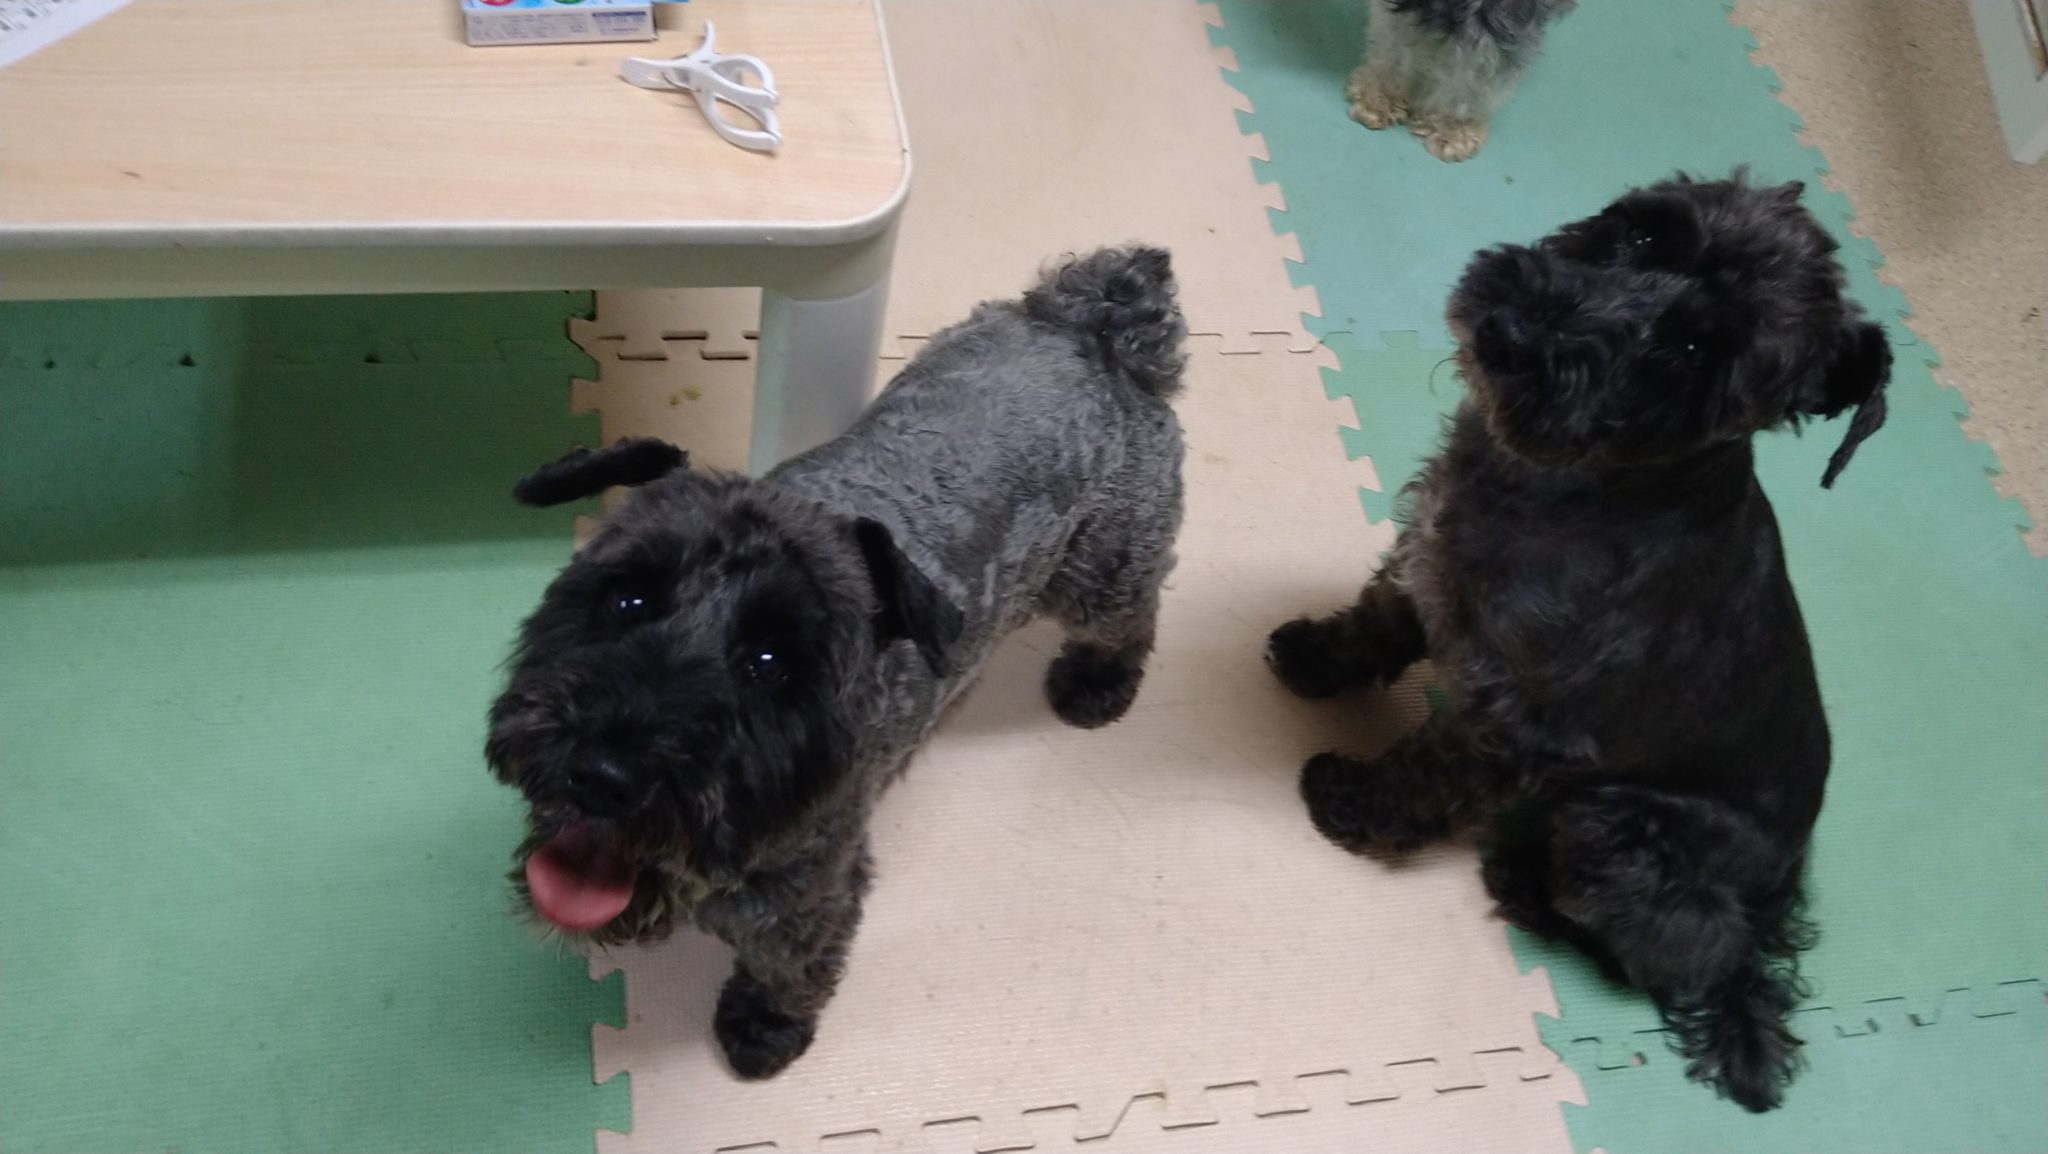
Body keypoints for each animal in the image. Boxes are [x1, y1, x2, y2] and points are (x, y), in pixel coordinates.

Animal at [485, 246, 1187, 1079]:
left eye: (768, 661)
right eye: (627, 600)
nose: (602, 774)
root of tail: (1100, 323)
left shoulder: (807, 891)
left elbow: (791, 964)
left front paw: (765, 1028)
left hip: (1103, 571)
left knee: (1134, 615)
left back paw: (1097, 685)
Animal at [1266, 173, 1891, 1111]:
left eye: (1697, 348)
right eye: (1641, 236)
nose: (1520, 331)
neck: (1568, 486)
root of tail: (1777, 893)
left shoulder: (1517, 724)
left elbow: (1425, 774)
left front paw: (1354, 804)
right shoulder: (1430, 553)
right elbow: (1377, 617)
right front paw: (1313, 655)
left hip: (1615, 832)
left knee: (1686, 956)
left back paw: (1524, 886)